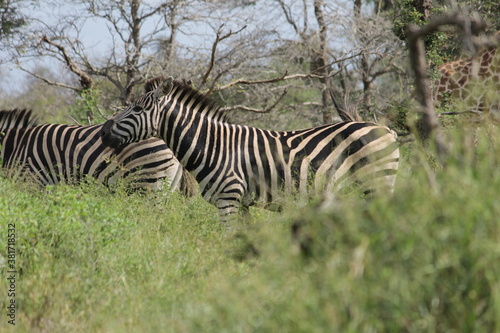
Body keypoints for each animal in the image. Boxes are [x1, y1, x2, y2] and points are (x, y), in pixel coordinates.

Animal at [100, 77, 398, 222]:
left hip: (376, 183)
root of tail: (385, 129)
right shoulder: (241, 202)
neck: (213, 146)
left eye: (137, 109)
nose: (103, 132)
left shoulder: (228, 199)